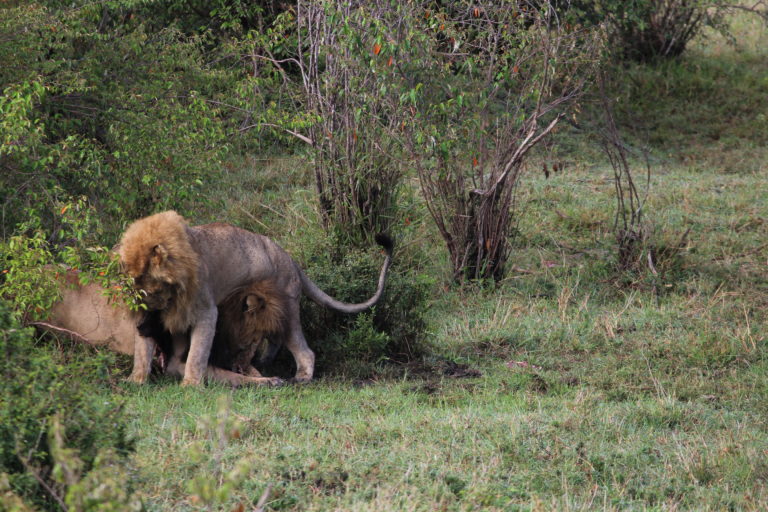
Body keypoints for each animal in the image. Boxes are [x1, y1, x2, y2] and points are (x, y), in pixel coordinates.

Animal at [33, 272, 284, 384]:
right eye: (259, 336)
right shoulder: (176, 363)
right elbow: (230, 376)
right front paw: (269, 381)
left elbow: (246, 371)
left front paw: (268, 376)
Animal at [120, 211, 396, 384]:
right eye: (137, 298)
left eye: (152, 292)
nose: (140, 325)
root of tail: (291, 260)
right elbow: (143, 352)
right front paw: (136, 380)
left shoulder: (207, 311)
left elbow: (197, 354)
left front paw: (190, 384)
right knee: (273, 338)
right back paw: (264, 362)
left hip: (288, 303)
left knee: (304, 350)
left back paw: (300, 377)